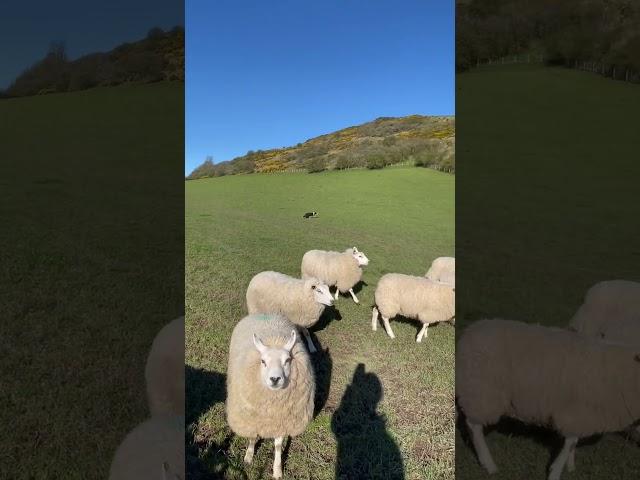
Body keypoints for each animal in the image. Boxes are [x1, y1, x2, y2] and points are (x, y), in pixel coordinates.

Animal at [225, 314, 316, 478]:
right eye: (263, 361)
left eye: (287, 360)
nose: (275, 379)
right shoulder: (252, 417)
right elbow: (252, 437)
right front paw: (248, 456)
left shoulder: (282, 420)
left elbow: (278, 446)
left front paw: (277, 470)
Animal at [456, 318, 640, 480]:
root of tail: (469, 333)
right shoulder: (576, 409)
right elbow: (570, 442)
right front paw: (556, 472)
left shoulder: (580, 415)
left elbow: (573, 441)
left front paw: (570, 466)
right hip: (482, 393)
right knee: (474, 426)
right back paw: (489, 464)